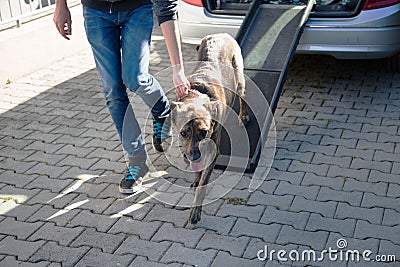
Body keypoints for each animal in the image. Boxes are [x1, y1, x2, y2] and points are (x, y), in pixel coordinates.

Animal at [171, 33, 248, 226]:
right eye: (183, 133)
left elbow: (203, 185)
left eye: (204, 132)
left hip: (239, 76)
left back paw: (243, 115)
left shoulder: (213, 149)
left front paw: (195, 211)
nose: (193, 156)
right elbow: (198, 171)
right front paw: (196, 179)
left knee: (242, 96)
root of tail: (222, 34)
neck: (198, 95)